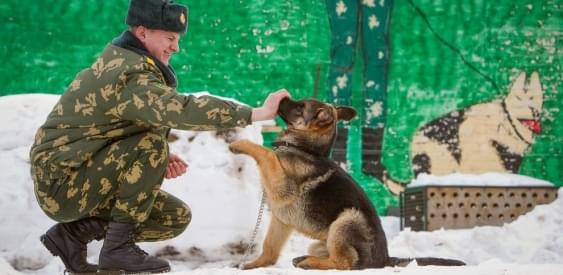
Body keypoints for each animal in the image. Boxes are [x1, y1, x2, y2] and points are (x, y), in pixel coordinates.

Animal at [227, 98, 464, 270]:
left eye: (301, 106)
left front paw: (241, 143)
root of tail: (385, 258)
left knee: (345, 263)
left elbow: (266, 153)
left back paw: (310, 262)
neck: (304, 147)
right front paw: (254, 265)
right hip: (323, 239)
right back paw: (305, 258)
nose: (281, 97)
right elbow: (269, 248)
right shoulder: (281, 220)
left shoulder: (281, 187)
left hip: (346, 220)